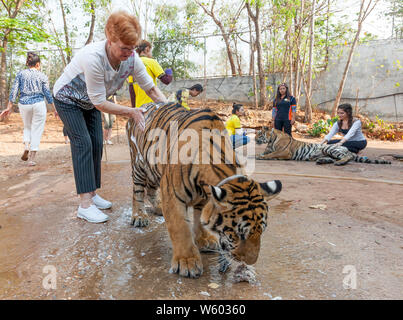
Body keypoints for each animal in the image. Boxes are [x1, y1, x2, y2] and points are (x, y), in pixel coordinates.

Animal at [128, 102, 282, 278]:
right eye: (239, 234)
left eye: (261, 231)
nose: (250, 261)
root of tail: (142, 106)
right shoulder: (172, 195)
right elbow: (180, 227)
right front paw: (187, 262)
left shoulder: (204, 197)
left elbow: (199, 220)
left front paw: (204, 240)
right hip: (138, 164)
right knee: (137, 191)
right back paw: (139, 217)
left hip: (153, 168)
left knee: (151, 189)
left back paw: (158, 207)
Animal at [258, 126, 392, 165]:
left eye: (259, 134)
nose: (254, 139)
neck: (270, 140)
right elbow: (268, 153)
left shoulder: (285, 152)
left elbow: (272, 154)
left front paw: (262, 157)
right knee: (332, 158)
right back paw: (322, 161)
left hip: (329, 148)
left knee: (347, 157)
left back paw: (340, 162)